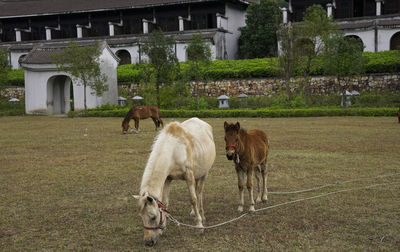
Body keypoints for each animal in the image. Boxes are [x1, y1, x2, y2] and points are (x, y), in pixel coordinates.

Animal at [133, 117, 216, 246]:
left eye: (153, 217)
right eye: (141, 217)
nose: (148, 242)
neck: (174, 150)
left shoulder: (189, 175)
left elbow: (193, 199)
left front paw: (199, 226)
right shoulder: (168, 178)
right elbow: (165, 202)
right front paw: (163, 228)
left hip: (204, 174)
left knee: (199, 194)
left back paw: (201, 215)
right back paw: (194, 213)